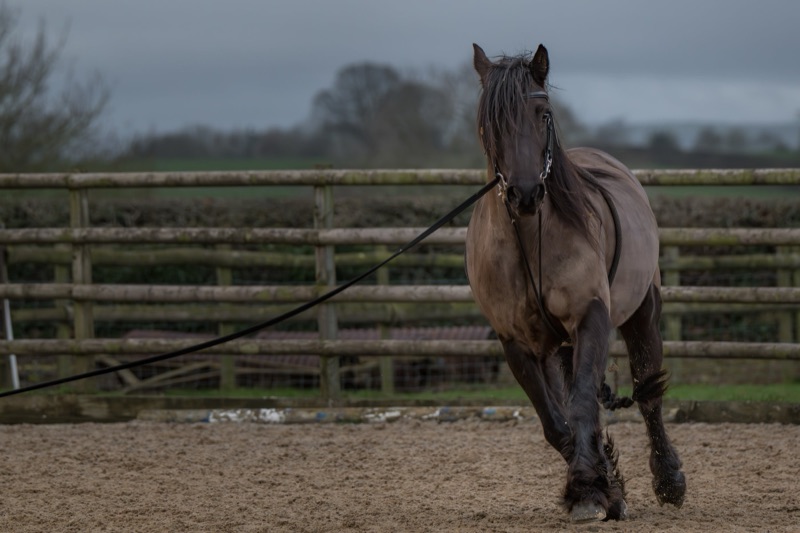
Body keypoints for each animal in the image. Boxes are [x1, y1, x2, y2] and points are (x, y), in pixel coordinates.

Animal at [465, 43, 686, 523]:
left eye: (544, 113)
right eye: (490, 121)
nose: (525, 194)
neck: (530, 240)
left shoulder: (591, 318)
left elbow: (583, 403)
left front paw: (588, 491)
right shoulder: (516, 342)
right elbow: (555, 421)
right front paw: (605, 489)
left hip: (643, 316)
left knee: (649, 396)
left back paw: (670, 480)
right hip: (559, 346)